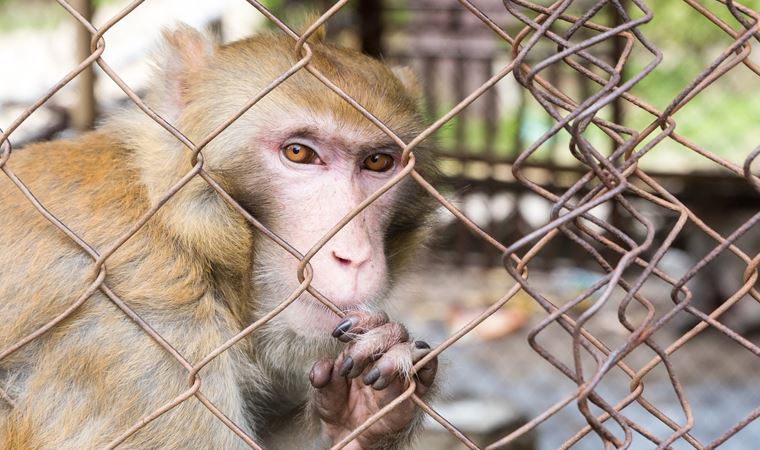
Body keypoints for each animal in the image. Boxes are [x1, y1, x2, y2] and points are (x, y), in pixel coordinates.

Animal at [0, 22, 436, 450]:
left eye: (377, 162)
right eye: (298, 153)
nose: (353, 255)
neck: (184, 234)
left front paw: (363, 412)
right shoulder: (145, 333)